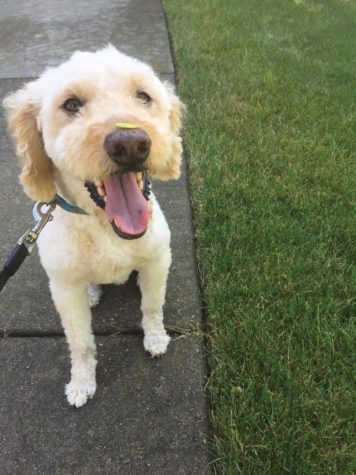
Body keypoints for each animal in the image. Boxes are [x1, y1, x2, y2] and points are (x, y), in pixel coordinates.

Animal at [3, 45, 184, 410]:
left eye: (143, 96)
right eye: (71, 104)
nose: (129, 144)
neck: (105, 228)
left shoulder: (157, 262)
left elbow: (152, 306)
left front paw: (156, 338)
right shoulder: (64, 291)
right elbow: (80, 342)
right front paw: (81, 383)